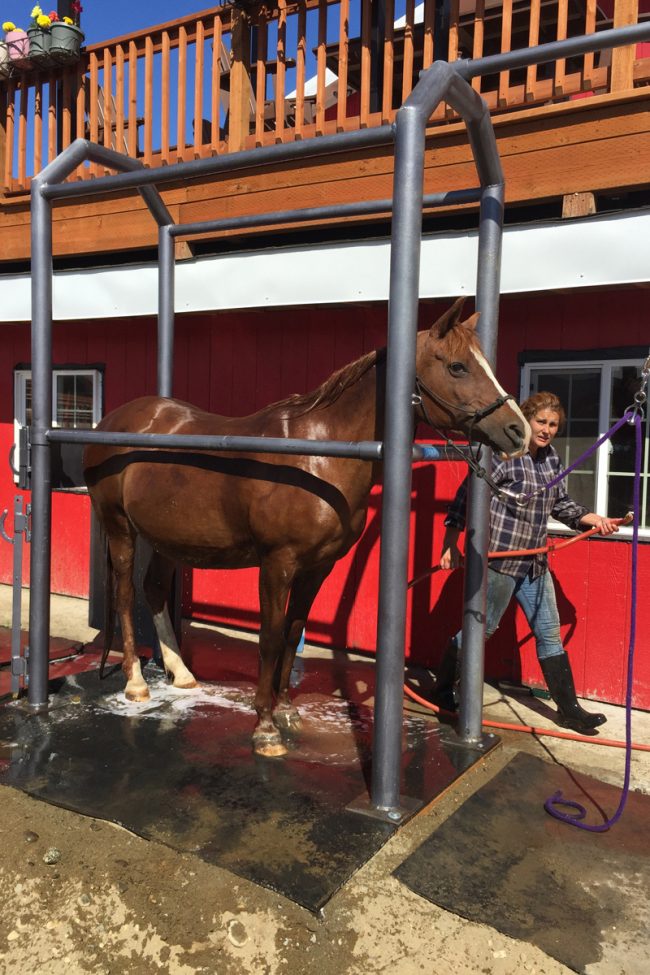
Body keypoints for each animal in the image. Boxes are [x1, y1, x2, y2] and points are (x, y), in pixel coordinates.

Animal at [83, 298, 530, 757]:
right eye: (458, 366)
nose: (520, 431)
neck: (320, 455)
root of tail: (115, 421)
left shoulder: (317, 567)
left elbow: (294, 629)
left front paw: (284, 710)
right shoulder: (276, 563)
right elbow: (270, 636)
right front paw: (264, 728)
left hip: (168, 540)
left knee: (153, 590)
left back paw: (182, 673)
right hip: (119, 528)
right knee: (125, 595)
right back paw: (136, 683)